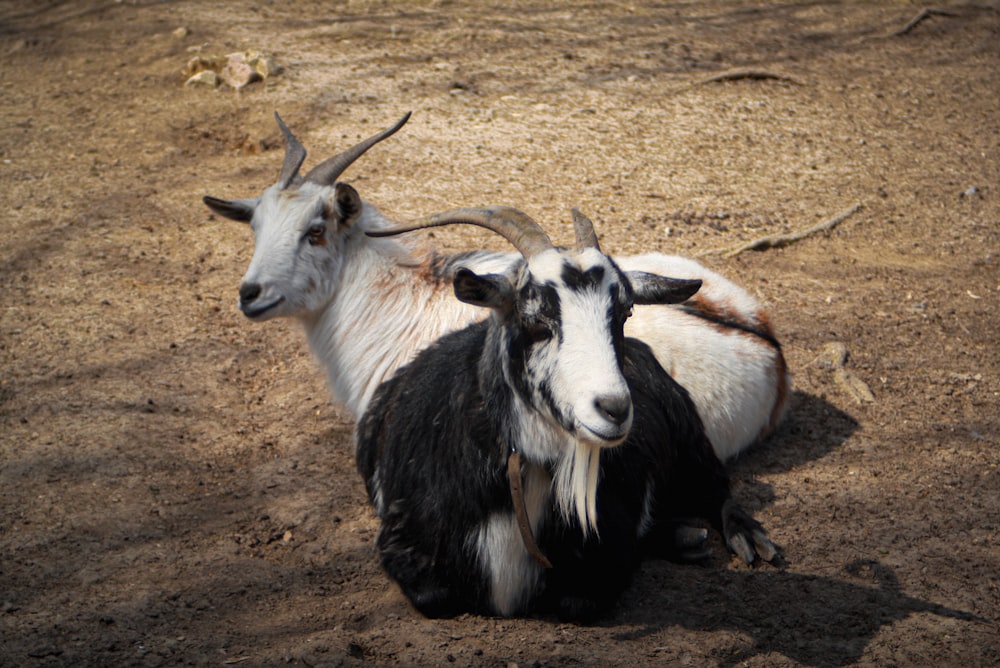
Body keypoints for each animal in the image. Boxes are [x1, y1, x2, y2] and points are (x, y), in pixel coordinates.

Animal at [356, 206, 776, 620]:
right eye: (535, 320)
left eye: (624, 313)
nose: (614, 409)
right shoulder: (401, 540)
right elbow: (434, 597)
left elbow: (579, 601)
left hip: (688, 435)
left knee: (716, 485)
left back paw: (749, 539)